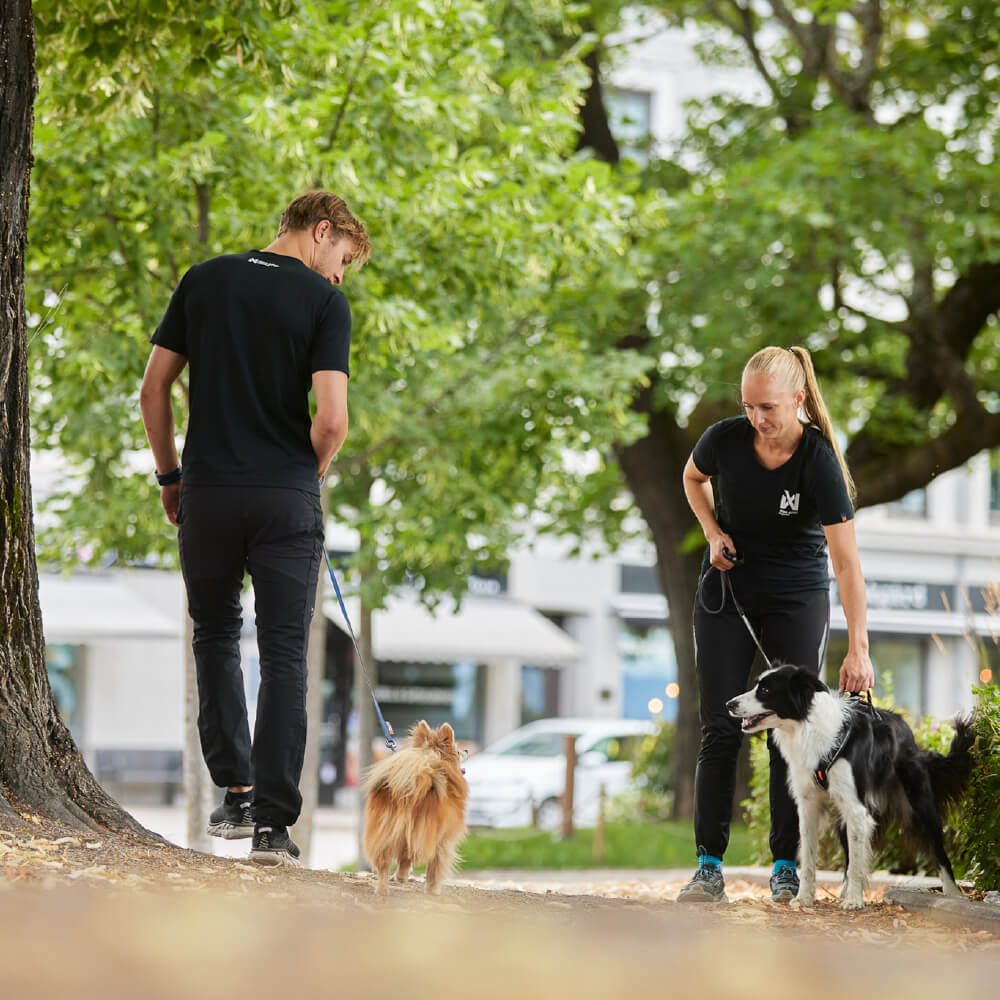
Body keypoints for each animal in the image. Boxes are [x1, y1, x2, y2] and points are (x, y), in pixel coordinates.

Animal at [362, 720, 466, 900]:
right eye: (458, 751)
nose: (466, 750)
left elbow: (405, 858)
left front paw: (401, 877)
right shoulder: (442, 841)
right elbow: (434, 868)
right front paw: (433, 890)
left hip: (385, 831)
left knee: (383, 863)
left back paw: (382, 890)